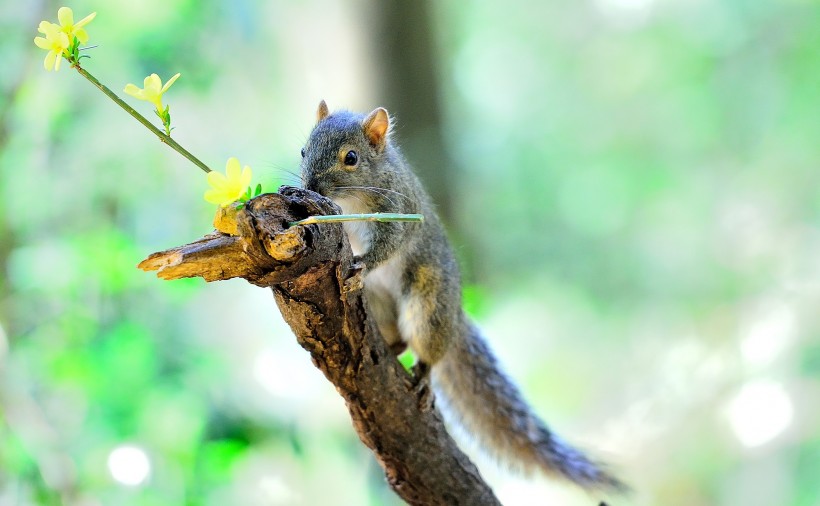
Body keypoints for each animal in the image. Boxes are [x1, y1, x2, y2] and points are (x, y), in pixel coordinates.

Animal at [302, 101, 628, 492]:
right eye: (303, 150)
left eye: (351, 157)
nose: (309, 185)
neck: (354, 196)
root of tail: (456, 315)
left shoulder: (398, 208)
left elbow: (389, 245)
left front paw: (363, 263)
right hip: (380, 308)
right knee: (399, 340)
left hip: (428, 305)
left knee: (427, 348)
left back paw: (425, 377)